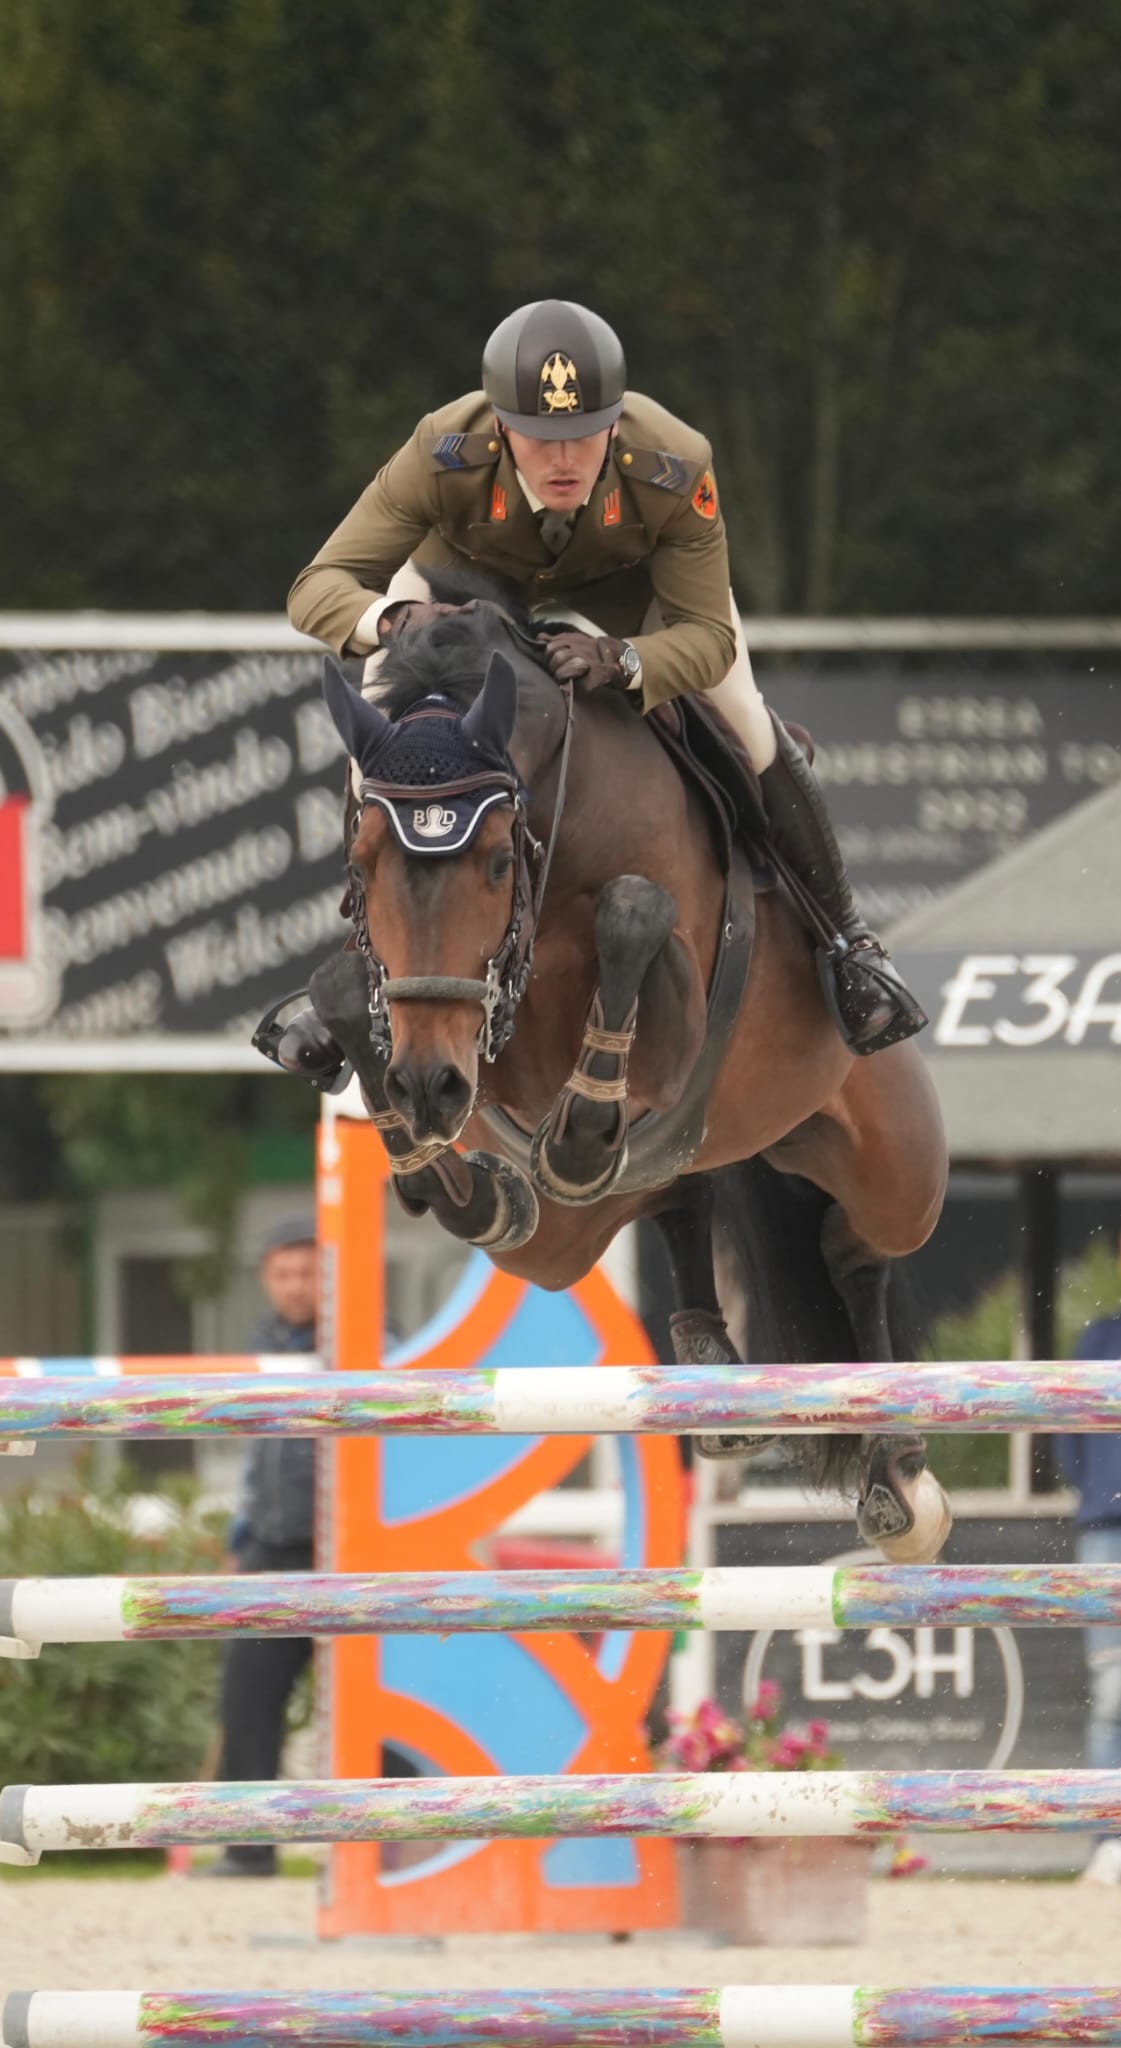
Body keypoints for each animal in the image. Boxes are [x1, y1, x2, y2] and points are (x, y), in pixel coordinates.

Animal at [308, 574, 950, 1563]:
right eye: (363, 858)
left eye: (494, 864)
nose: (427, 1086)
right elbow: (347, 985)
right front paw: (440, 1155)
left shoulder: (680, 1004)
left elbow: (632, 913)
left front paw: (573, 1132)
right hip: (560, 1246)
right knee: (668, 1198)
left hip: (898, 1165)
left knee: (854, 1248)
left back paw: (895, 1467)